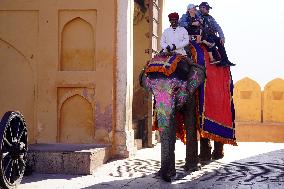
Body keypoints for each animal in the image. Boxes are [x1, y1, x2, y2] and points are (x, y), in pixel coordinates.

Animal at [139, 52, 204, 182]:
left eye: (177, 89)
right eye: (152, 91)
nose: (169, 179)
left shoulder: (192, 93)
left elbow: (190, 119)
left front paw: (192, 169)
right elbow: (171, 125)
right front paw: (166, 173)